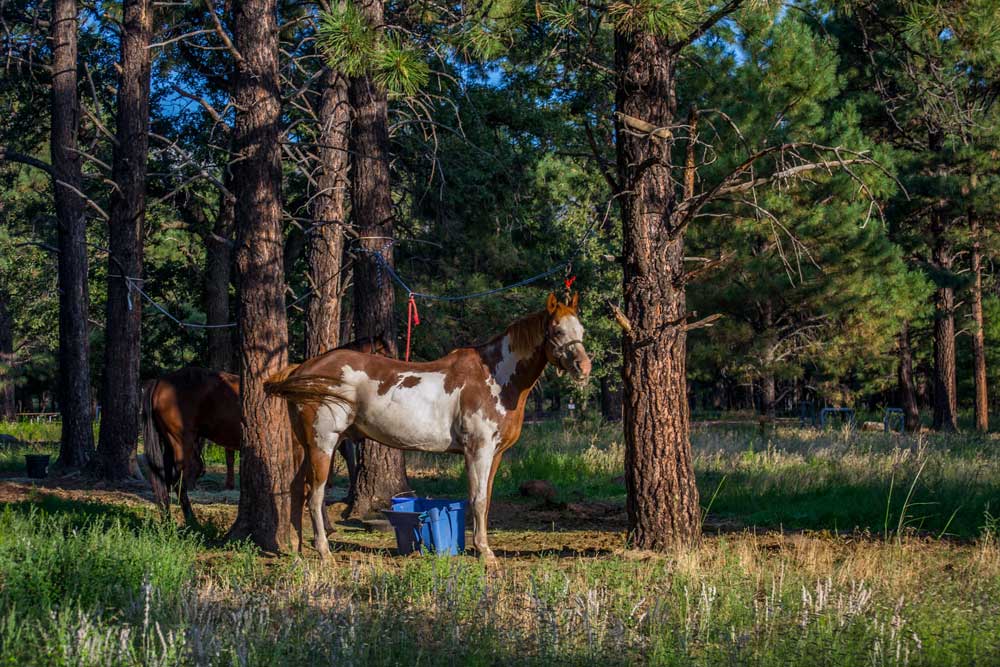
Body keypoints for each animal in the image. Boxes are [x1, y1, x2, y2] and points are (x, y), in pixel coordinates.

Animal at [141, 336, 386, 524]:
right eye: (384, 354)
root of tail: (161, 381)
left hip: (169, 443)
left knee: (165, 479)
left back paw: (168, 519)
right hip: (181, 441)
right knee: (178, 480)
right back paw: (192, 521)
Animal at [268, 294, 592, 560]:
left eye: (581, 332)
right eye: (557, 331)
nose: (584, 368)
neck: (494, 379)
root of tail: (302, 370)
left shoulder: (495, 453)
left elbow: (486, 500)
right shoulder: (478, 451)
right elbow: (477, 499)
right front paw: (485, 553)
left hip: (306, 445)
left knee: (296, 490)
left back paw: (296, 549)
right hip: (324, 443)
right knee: (315, 495)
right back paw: (324, 552)